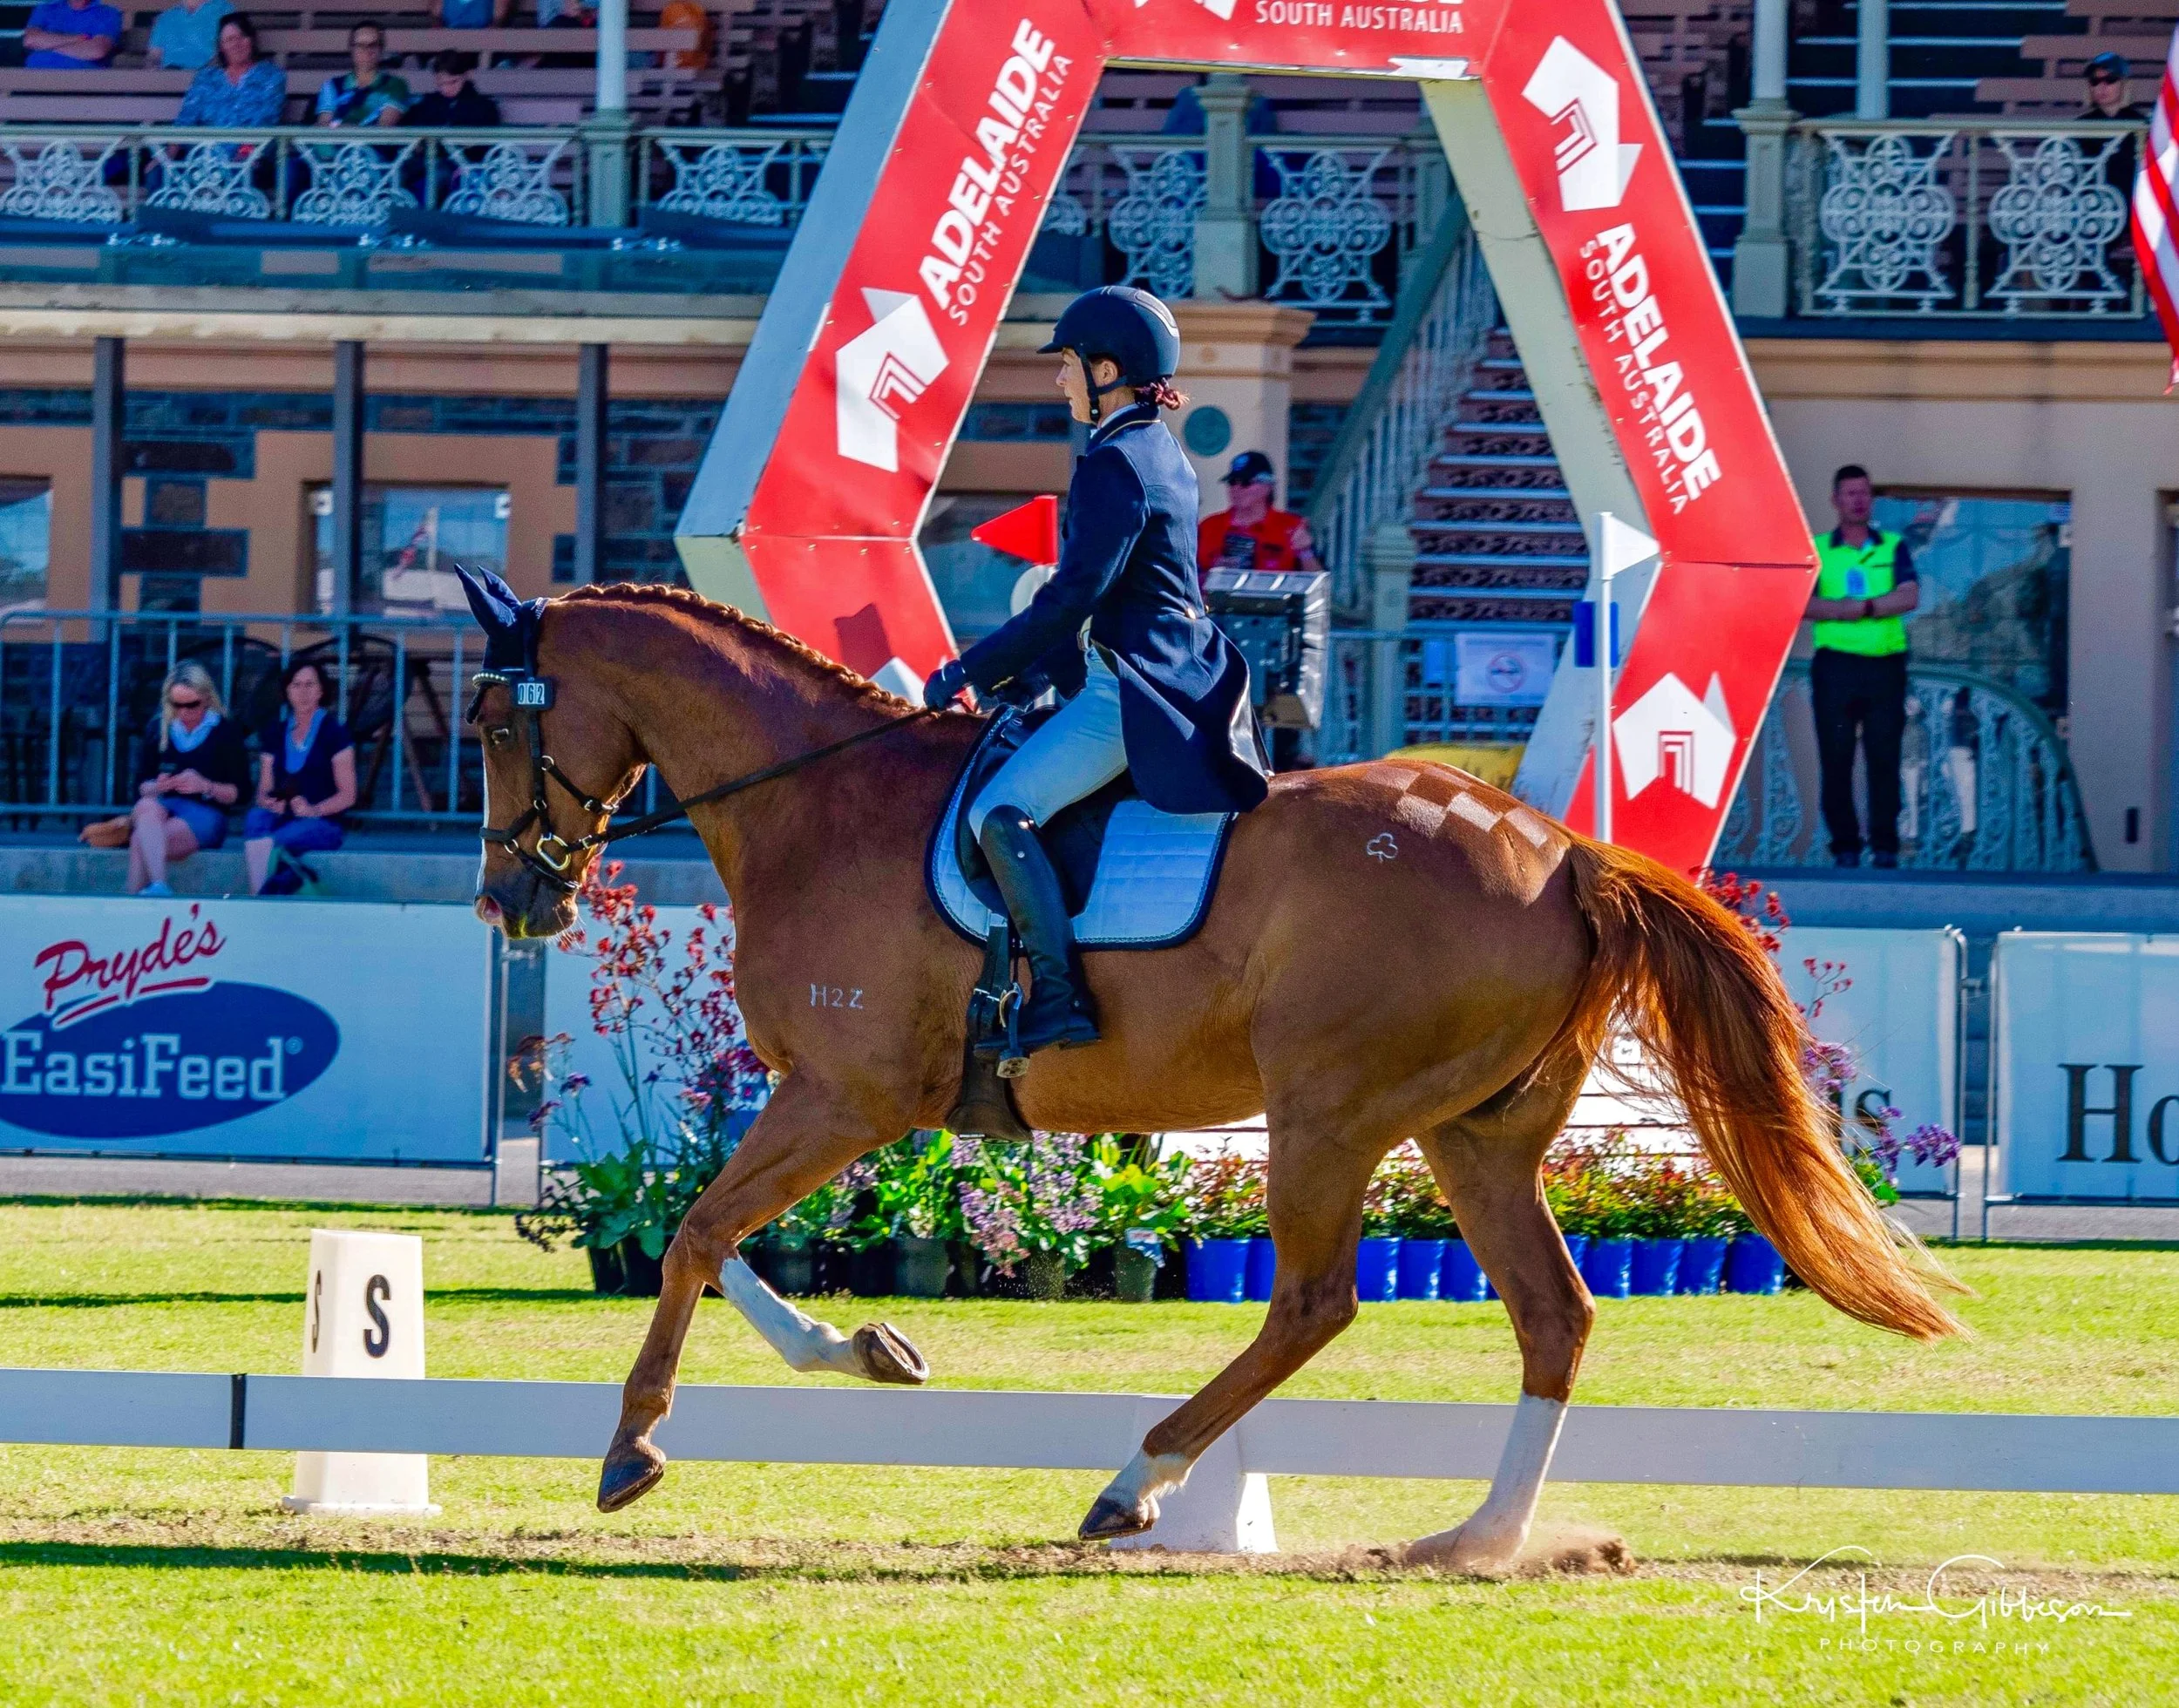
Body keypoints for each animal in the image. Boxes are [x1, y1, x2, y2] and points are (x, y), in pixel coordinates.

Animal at [467, 579, 1961, 1571]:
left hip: (1330, 1118)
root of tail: (1564, 853)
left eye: (489, 722)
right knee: (1554, 1315)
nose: (509, 902)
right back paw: (1477, 1536)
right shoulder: (839, 1103)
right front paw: (871, 1349)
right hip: (1475, 1138)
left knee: (1312, 1303)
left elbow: (693, 1233)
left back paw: (1138, 1484)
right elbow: (710, 1236)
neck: (816, 801)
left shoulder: (846, 1094)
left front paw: (632, 1451)